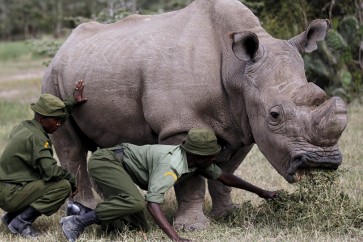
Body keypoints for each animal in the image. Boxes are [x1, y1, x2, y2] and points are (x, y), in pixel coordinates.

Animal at [42, 0, 350, 231]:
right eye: (274, 115)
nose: (322, 163)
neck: (237, 70)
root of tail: (64, 46)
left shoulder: (243, 126)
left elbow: (226, 172)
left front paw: (227, 215)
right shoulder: (180, 126)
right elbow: (190, 179)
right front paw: (193, 228)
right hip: (53, 79)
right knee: (71, 147)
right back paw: (85, 212)